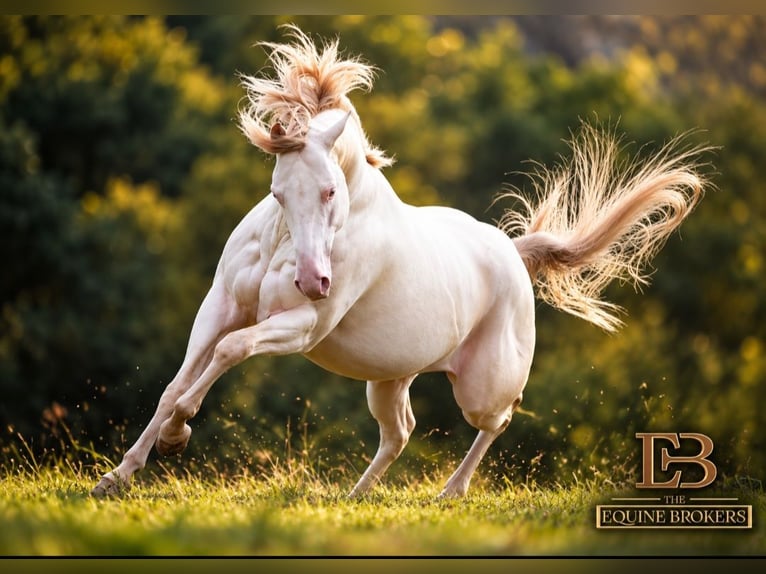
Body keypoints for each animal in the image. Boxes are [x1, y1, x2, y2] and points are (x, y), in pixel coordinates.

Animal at [91, 26, 706, 498]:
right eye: (277, 193)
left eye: (330, 191)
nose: (313, 280)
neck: (283, 246)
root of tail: (512, 254)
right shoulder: (220, 305)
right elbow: (179, 380)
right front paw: (119, 476)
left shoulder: (304, 325)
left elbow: (229, 352)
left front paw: (177, 436)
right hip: (389, 378)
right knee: (400, 431)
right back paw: (356, 495)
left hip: (481, 387)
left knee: (499, 418)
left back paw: (450, 492)